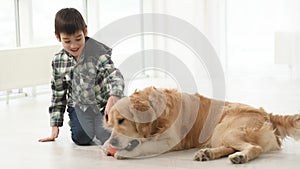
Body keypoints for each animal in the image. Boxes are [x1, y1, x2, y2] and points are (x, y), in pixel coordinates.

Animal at [102, 86, 300, 163]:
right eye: (111, 125)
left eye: (122, 121)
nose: (113, 143)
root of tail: (267, 114)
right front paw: (106, 146)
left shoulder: (170, 141)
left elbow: (144, 146)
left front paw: (124, 153)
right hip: (219, 133)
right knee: (230, 147)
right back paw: (207, 153)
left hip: (224, 129)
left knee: (254, 147)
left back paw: (240, 157)